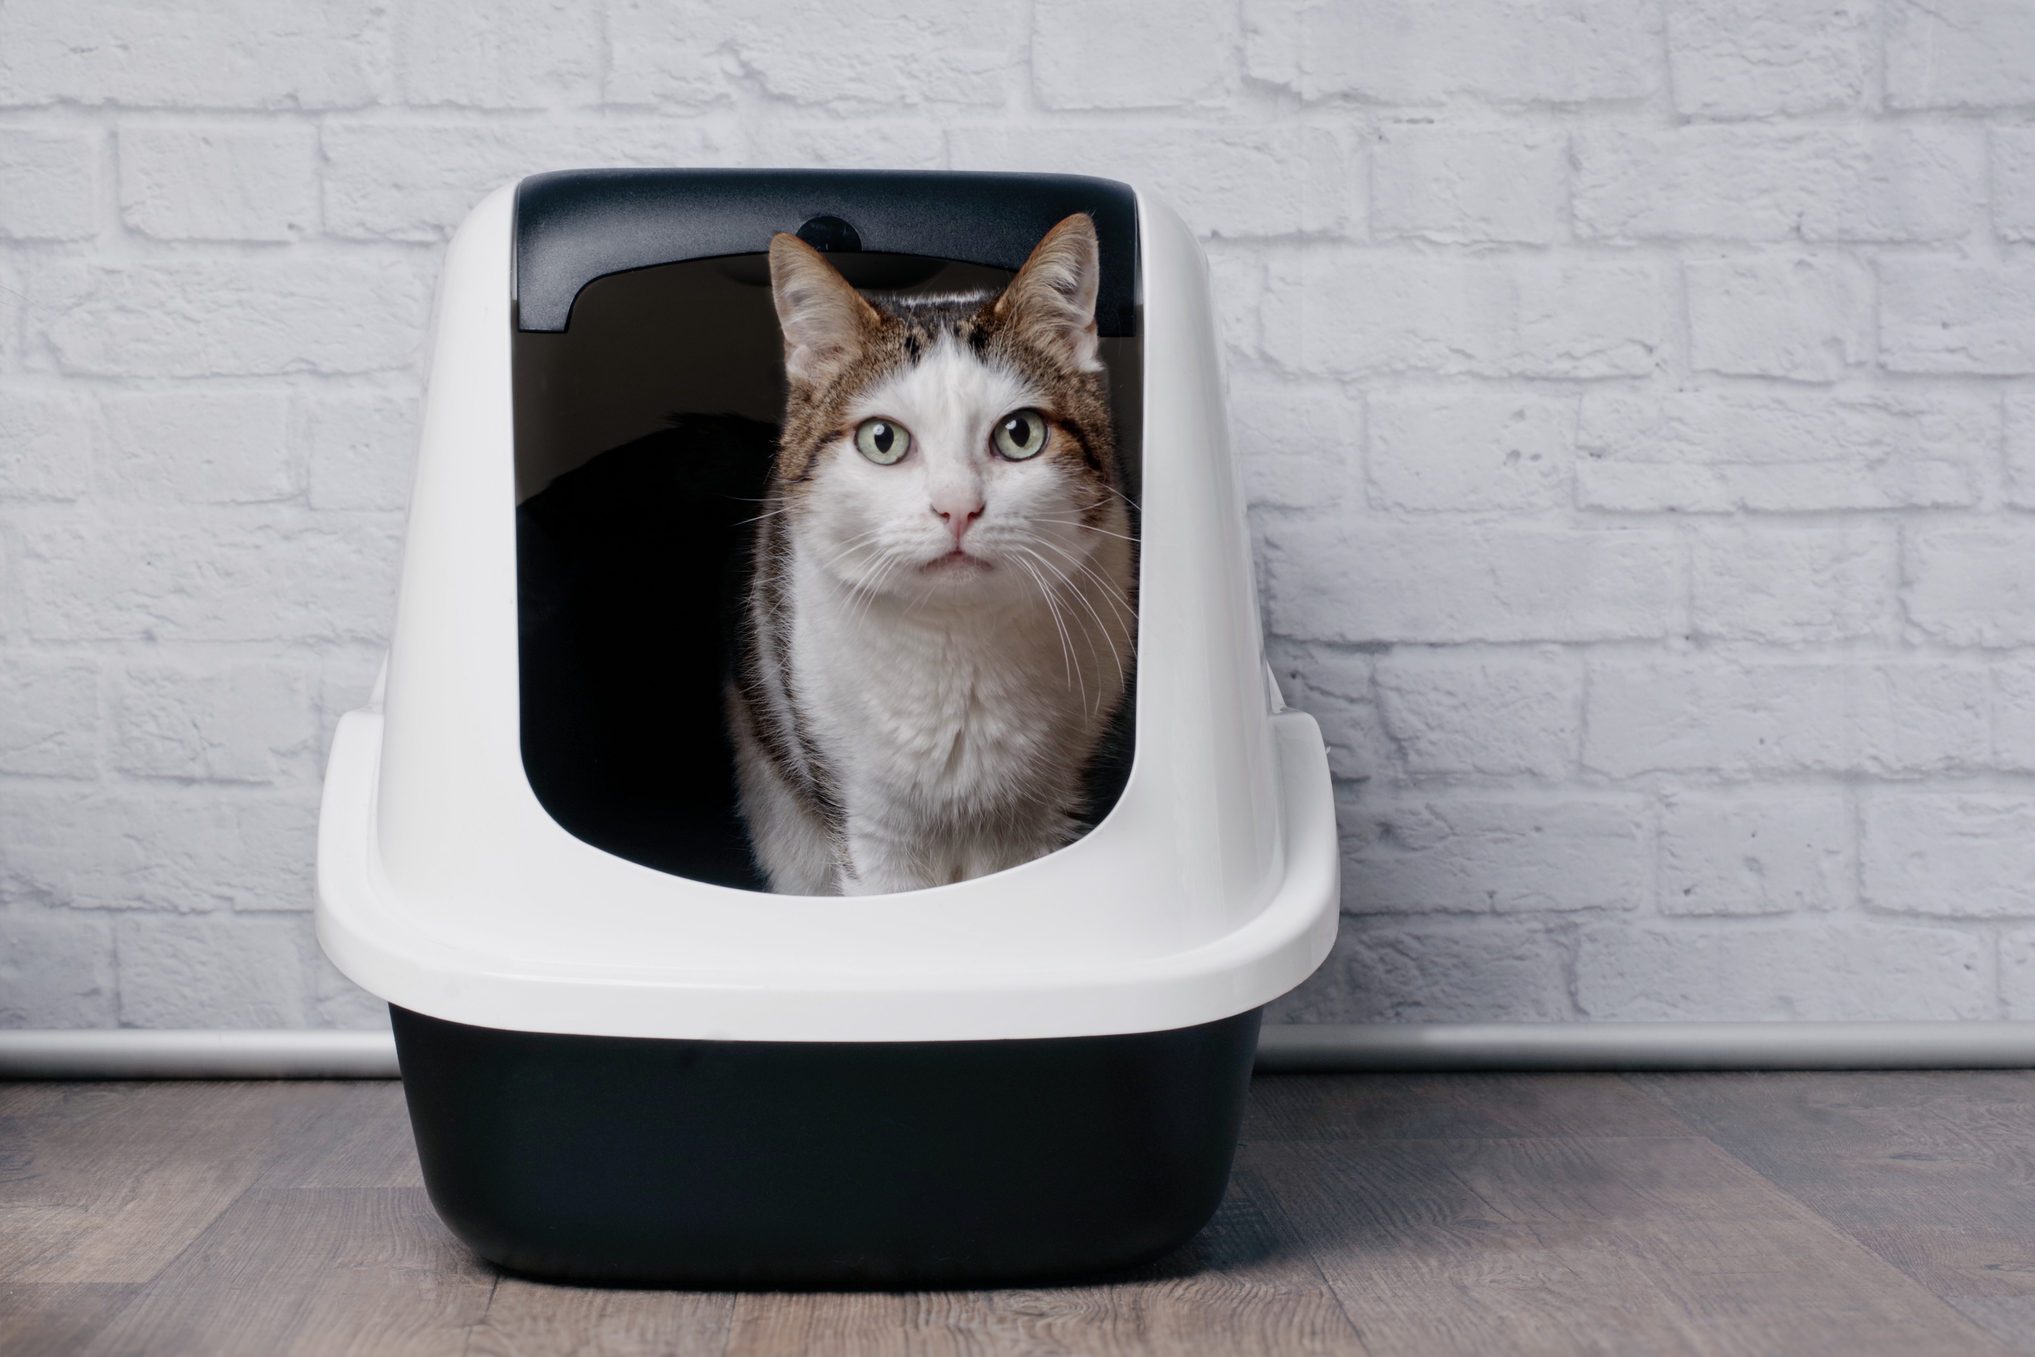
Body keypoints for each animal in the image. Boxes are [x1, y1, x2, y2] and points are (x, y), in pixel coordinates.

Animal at [728, 214, 1147, 903]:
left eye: (1020, 434)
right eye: (882, 439)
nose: (957, 509)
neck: (957, 643)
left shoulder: (1048, 816)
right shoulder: (869, 828)